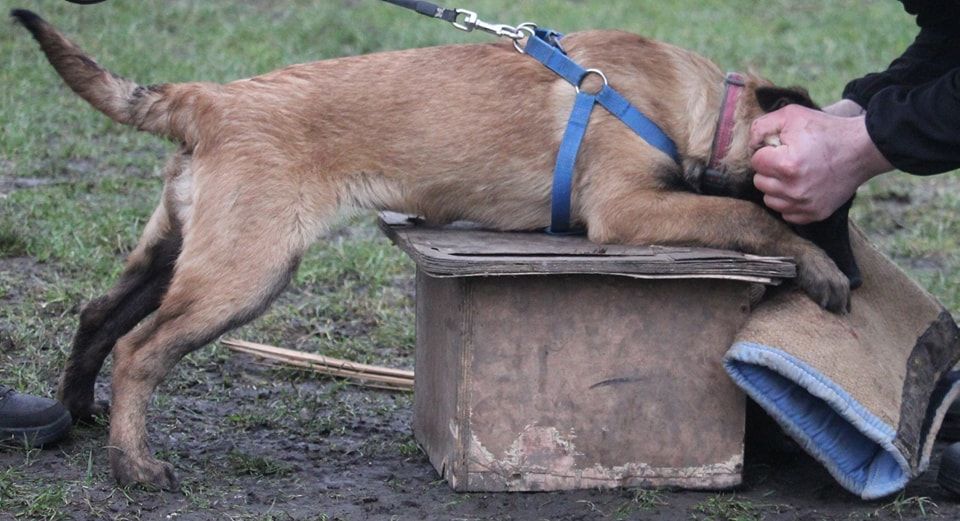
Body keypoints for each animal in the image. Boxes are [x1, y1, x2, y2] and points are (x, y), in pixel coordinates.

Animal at [12, 9, 851, 489]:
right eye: (829, 209)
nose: (858, 263)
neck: (691, 103)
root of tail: (207, 98)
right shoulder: (628, 210)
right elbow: (744, 218)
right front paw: (817, 267)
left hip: (181, 251)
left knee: (98, 315)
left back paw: (77, 415)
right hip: (245, 273)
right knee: (139, 350)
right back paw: (133, 466)